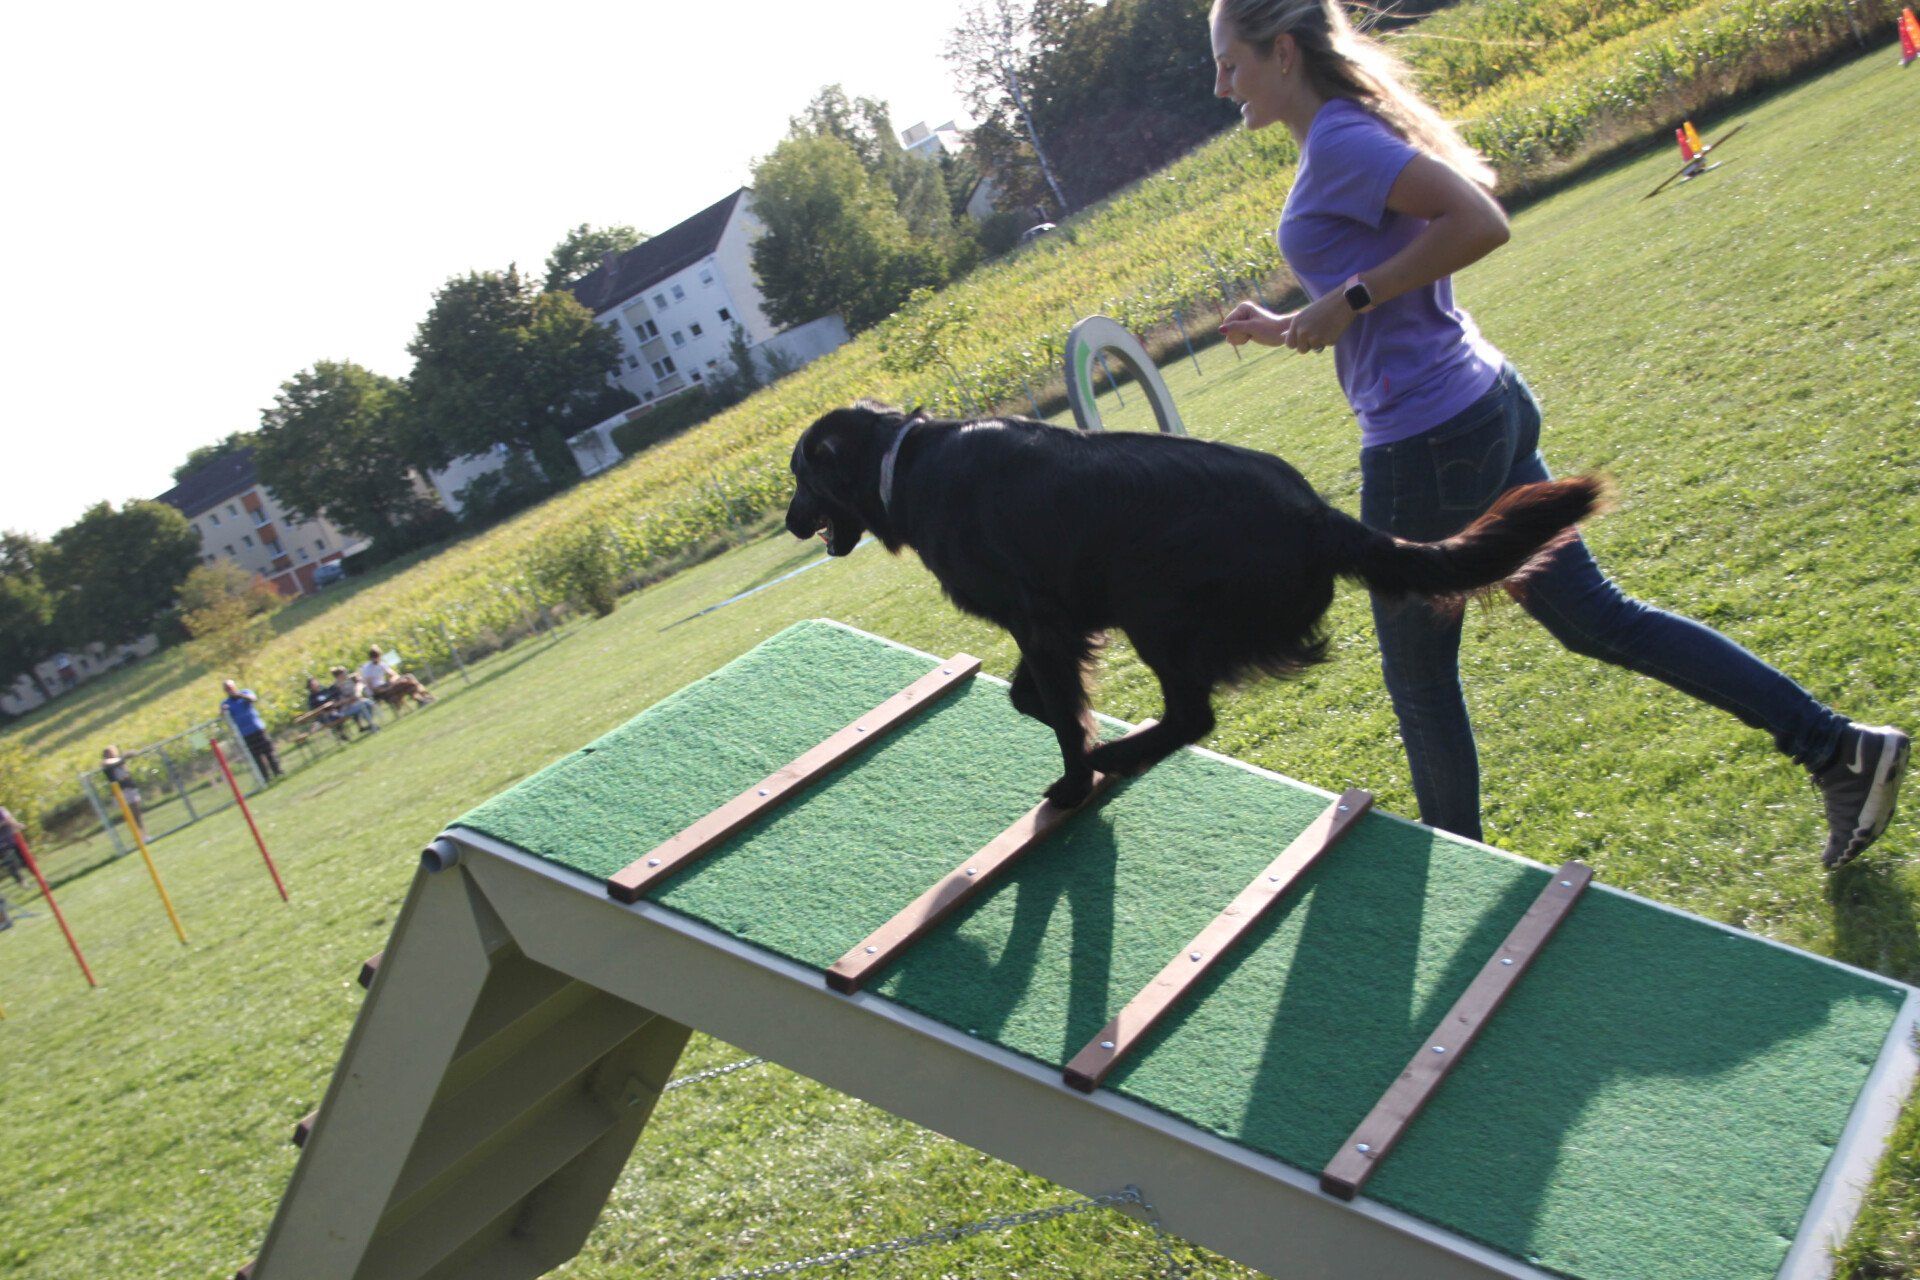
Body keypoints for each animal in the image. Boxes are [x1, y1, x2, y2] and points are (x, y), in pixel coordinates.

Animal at [787, 402, 1601, 809]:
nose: (793, 523)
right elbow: (1034, 699)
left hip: (1153, 606)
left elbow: (1057, 715)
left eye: (798, 475)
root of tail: (1317, 515)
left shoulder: (1039, 620)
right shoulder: (1057, 624)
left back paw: (1118, 754)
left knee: (1192, 716)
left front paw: (1077, 774)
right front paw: (1072, 724)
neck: (904, 463)